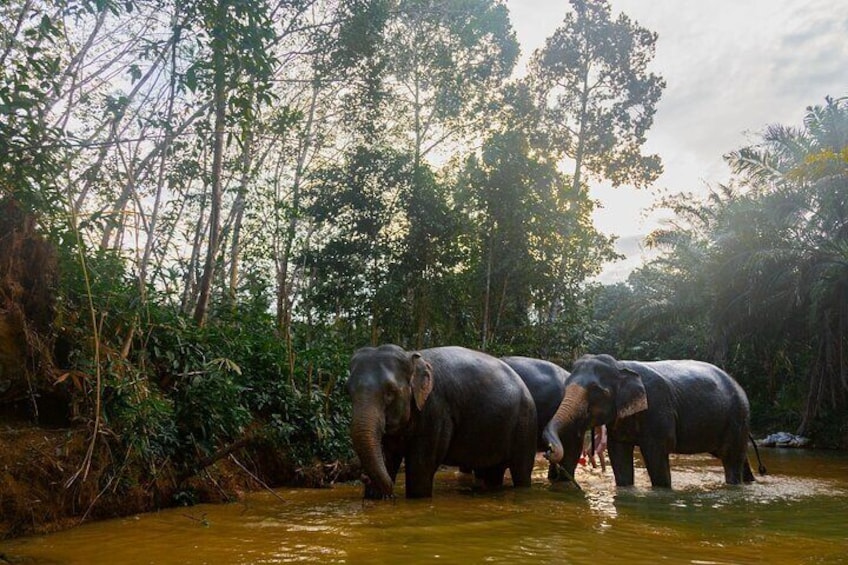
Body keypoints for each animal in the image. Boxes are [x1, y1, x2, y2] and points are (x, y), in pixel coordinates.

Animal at [346, 344, 536, 498]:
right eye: (348, 391)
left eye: (390, 392)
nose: (363, 478)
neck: (411, 355)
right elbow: (388, 455)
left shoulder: (436, 409)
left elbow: (420, 466)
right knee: (491, 472)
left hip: (525, 423)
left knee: (521, 471)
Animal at [544, 354, 768, 486]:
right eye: (566, 384)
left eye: (597, 391)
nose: (547, 451)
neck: (620, 366)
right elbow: (619, 454)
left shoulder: (658, 410)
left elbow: (655, 453)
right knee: (738, 457)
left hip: (737, 417)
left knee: (731, 459)